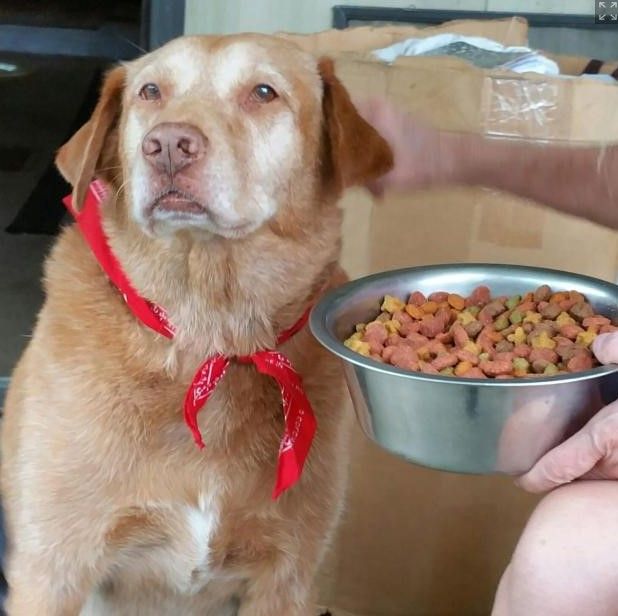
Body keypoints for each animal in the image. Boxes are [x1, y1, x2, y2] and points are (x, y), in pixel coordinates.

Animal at [1, 33, 392, 615]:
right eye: (149, 92)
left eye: (263, 92)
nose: (167, 145)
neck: (207, 329)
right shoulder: (52, 569)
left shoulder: (288, 578)